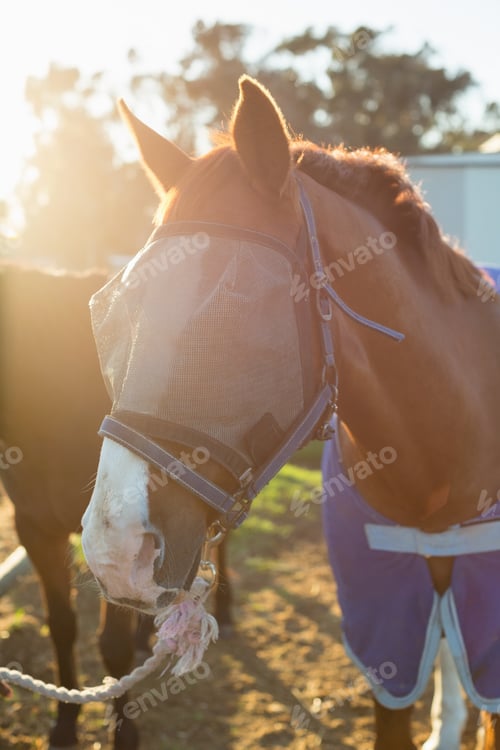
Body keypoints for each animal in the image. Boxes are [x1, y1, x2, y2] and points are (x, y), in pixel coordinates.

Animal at [0, 263, 232, 748]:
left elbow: (112, 645)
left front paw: (124, 731)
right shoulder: (36, 529)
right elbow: (62, 626)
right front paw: (65, 723)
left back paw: (226, 607)